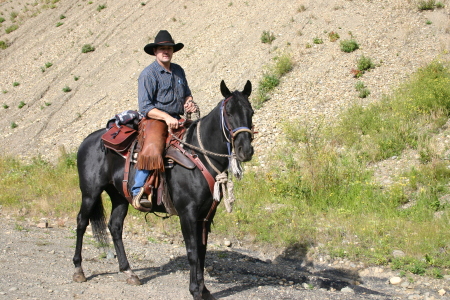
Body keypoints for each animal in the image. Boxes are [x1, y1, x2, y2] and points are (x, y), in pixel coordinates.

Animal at [72, 80, 251, 300]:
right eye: (229, 112)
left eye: (250, 112)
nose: (246, 150)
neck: (198, 155)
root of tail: (87, 141)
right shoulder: (188, 214)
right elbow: (192, 253)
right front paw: (195, 290)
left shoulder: (205, 216)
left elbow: (202, 252)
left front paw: (204, 290)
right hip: (90, 192)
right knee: (82, 222)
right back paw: (78, 270)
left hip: (120, 196)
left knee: (115, 226)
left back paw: (129, 272)